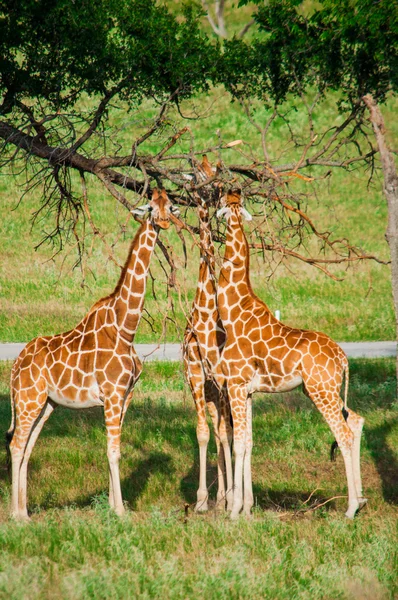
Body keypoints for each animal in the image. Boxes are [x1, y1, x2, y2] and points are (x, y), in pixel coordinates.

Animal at [7, 190, 178, 516]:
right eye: (151, 207)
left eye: (171, 206)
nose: (164, 221)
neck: (126, 328)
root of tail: (15, 366)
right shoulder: (112, 394)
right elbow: (112, 452)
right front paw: (120, 511)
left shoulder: (126, 395)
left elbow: (115, 449)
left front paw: (113, 506)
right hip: (27, 399)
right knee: (15, 445)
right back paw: (16, 514)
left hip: (45, 404)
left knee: (27, 446)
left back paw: (25, 514)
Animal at [218, 190, 366, 516]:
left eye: (222, 202)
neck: (233, 311)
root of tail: (343, 358)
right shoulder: (248, 390)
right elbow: (248, 442)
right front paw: (246, 510)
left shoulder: (235, 384)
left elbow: (238, 443)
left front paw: (234, 512)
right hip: (323, 389)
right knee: (356, 420)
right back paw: (361, 501)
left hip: (321, 390)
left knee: (344, 434)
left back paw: (350, 509)